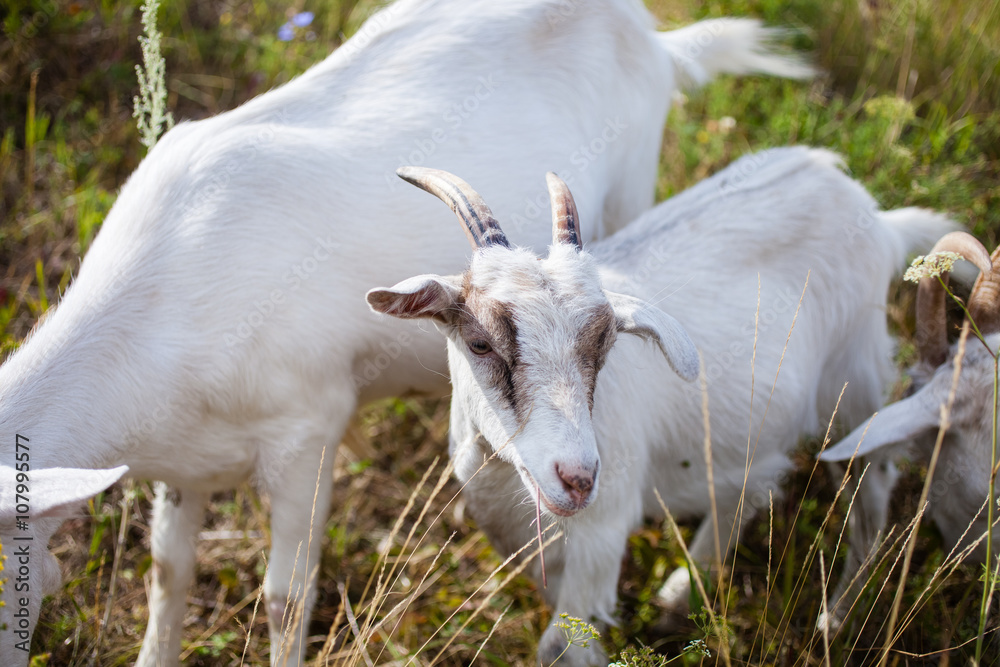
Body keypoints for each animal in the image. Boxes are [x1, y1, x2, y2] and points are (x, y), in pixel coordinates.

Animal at [0, 1, 812, 664]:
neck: (163, 299)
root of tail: (653, 37)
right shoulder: (180, 460)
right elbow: (168, 574)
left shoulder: (307, 434)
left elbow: (285, 598)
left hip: (632, 186)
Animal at [366, 148, 958, 665]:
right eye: (480, 343)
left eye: (605, 345)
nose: (578, 478)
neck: (503, 479)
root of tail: (881, 221)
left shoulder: (602, 529)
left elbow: (561, 647)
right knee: (751, 484)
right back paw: (683, 594)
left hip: (855, 376)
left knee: (871, 480)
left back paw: (836, 617)